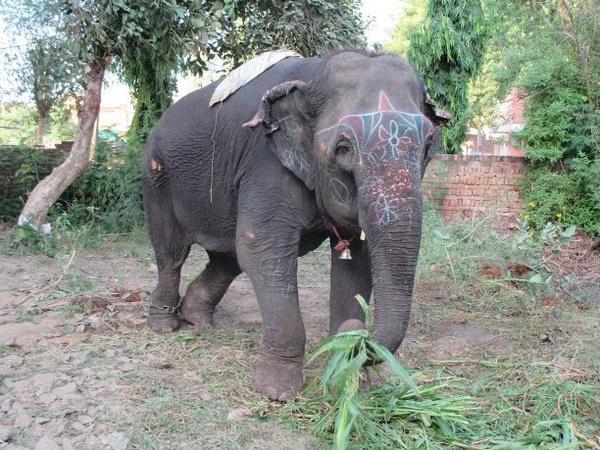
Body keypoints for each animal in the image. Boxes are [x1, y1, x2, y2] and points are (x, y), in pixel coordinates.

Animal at [142, 50, 450, 401]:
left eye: (428, 146)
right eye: (343, 149)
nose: (357, 334)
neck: (314, 75)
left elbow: (356, 260)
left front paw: (348, 375)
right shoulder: (264, 162)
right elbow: (262, 248)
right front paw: (277, 391)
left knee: (227, 259)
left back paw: (199, 320)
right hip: (157, 177)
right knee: (172, 252)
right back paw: (164, 325)